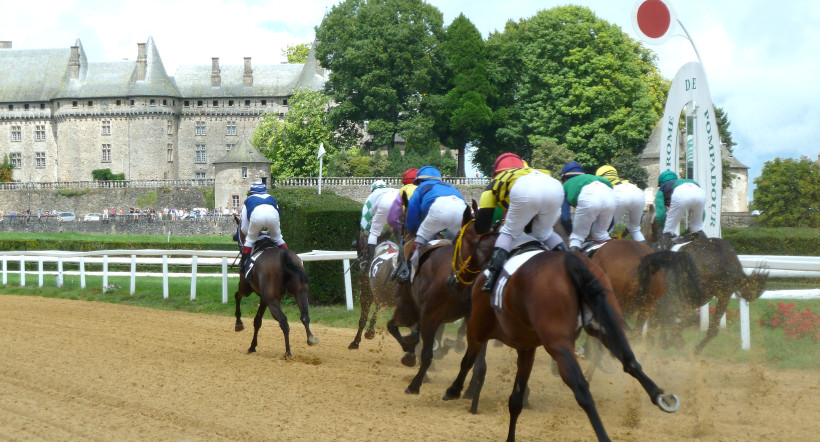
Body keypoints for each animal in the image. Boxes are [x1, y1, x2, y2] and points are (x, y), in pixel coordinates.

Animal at [234, 219, 320, 358]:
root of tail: (284, 257)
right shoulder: (263, 299)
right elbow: (257, 321)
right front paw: (252, 346)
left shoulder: (246, 288)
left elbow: (237, 296)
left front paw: (239, 324)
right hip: (301, 292)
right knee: (304, 316)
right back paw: (310, 339)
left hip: (272, 300)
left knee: (283, 321)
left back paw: (288, 352)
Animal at [442, 213, 680, 438]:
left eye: (458, 241)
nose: (452, 281)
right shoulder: (526, 346)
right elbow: (514, 397)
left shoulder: (478, 326)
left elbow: (468, 358)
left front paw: (455, 389)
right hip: (614, 315)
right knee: (629, 358)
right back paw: (659, 395)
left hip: (557, 343)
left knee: (581, 388)